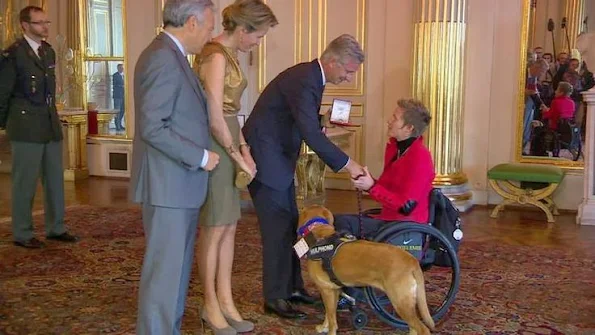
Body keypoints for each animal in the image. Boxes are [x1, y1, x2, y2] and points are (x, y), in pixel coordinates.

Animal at [298, 206, 434, 334]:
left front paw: (330, 331)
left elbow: (332, 319)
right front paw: (324, 327)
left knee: (422, 329)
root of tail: (412, 260)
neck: (318, 229)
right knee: (413, 328)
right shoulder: (334, 290)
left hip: (400, 302)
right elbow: (328, 314)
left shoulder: (326, 290)